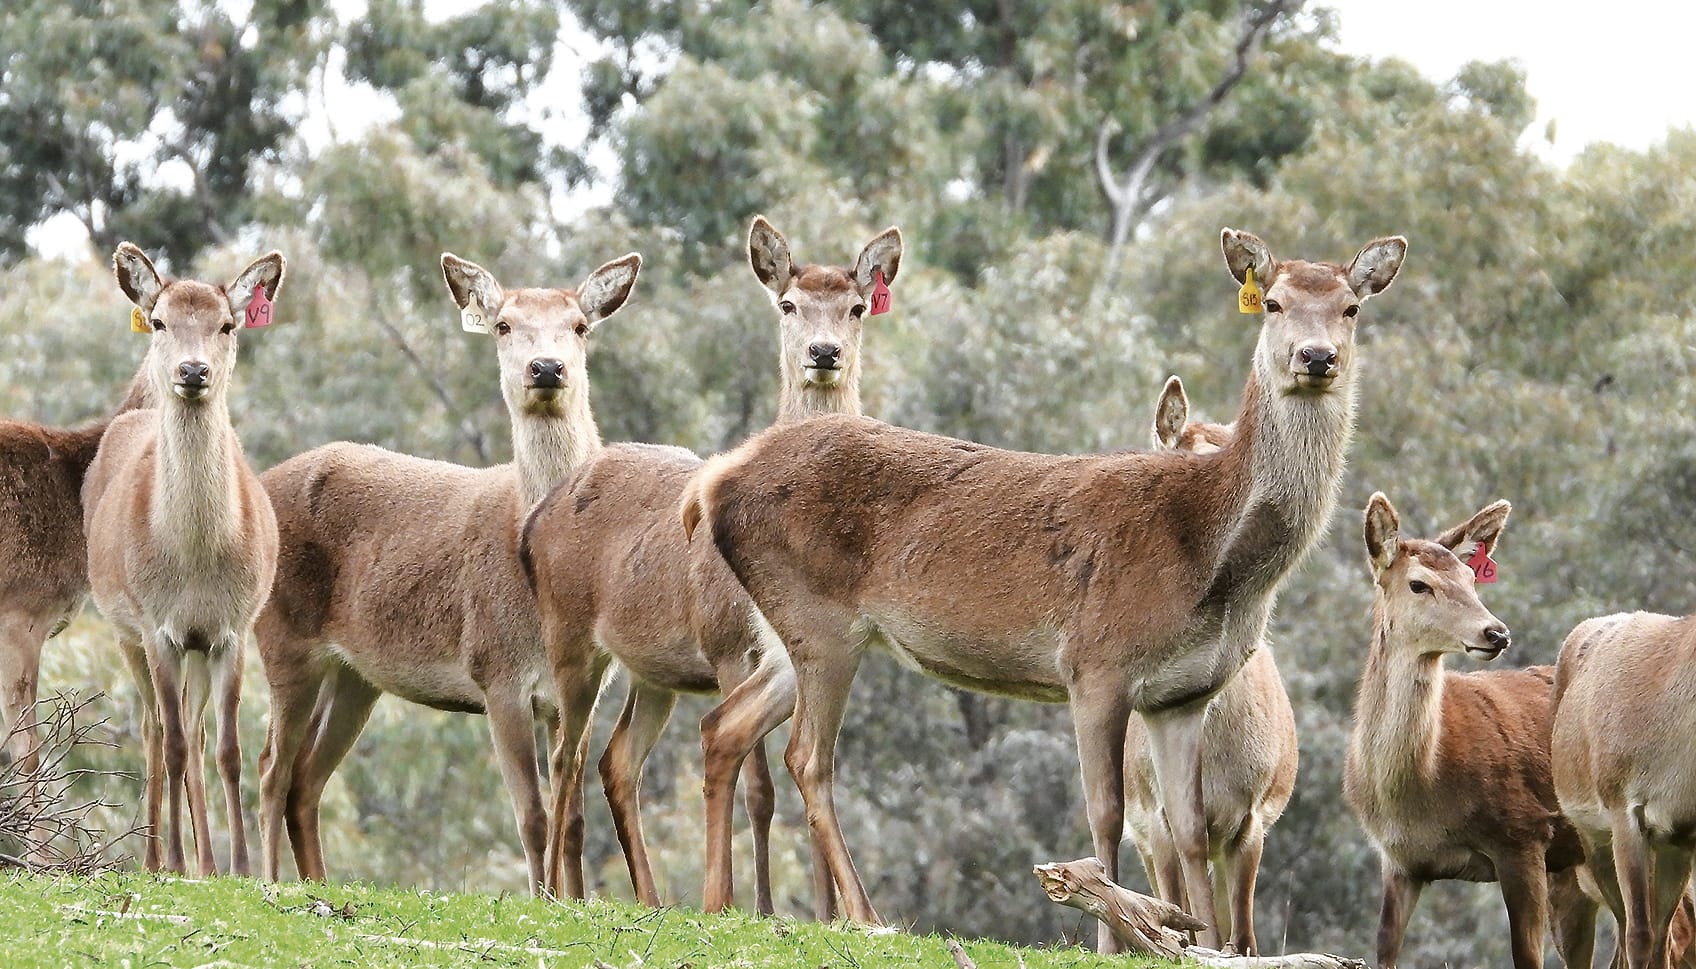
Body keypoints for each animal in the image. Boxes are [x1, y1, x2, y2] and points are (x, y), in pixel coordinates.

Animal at [82, 242, 287, 875]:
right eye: (158, 321)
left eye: (227, 324)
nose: (192, 372)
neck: (195, 563)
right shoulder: (157, 627)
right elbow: (170, 742)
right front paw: (173, 858)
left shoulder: (232, 629)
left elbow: (228, 748)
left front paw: (242, 866)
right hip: (121, 629)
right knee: (155, 729)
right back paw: (156, 861)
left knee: (194, 734)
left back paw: (208, 865)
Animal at [254, 250, 640, 895]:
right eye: (504, 325)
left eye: (580, 326)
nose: (547, 367)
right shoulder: (497, 671)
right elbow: (533, 816)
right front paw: (543, 901)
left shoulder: (584, 684)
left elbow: (575, 816)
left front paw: (575, 902)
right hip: (282, 638)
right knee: (270, 770)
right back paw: (263, 880)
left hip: (356, 674)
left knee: (305, 780)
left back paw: (317, 884)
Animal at [520, 217, 900, 911]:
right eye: (788, 304)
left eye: (858, 307)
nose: (824, 352)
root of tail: (535, 518)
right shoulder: (728, 642)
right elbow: (762, 786)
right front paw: (759, 908)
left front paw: (825, 914)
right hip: (569, 636)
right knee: (566, 756)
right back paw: (558, 894)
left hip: (651, 673)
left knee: (617, 758)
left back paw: (650, 898)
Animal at [1343, 491, 1612, 969]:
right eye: (1418, 584)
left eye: (1472, 578)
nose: (1497, 633)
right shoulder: (1398, 862)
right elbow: (1384, 950)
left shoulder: (1524, 832)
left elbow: (1527, 956)